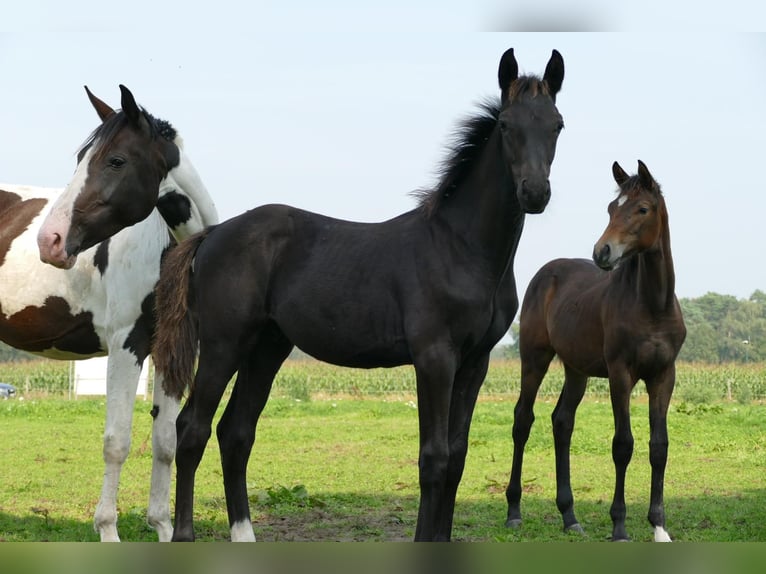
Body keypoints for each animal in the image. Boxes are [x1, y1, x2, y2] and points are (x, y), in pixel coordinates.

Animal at [4, 84, 219, 540]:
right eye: (80, 160)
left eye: (116, 160)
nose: (49, 240)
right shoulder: (126, 344)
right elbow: (116, 441)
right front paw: (107, 530)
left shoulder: (171, 351)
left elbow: (165, 441)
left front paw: (162, 527)